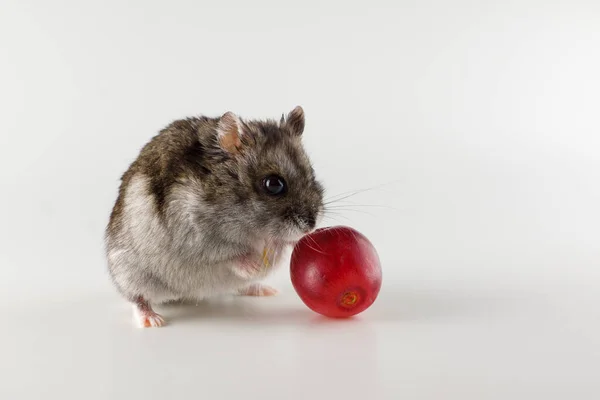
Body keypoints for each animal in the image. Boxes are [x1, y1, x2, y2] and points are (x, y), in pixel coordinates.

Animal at [105, 107, 326, 328]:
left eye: (312, 173)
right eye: (273, 184)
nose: (311, 226)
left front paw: (286, 245)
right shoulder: (196, 235)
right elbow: (230, 254)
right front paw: (255, 265)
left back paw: (264, 290)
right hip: (131, 273)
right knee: (137, 298)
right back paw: (152, 320)